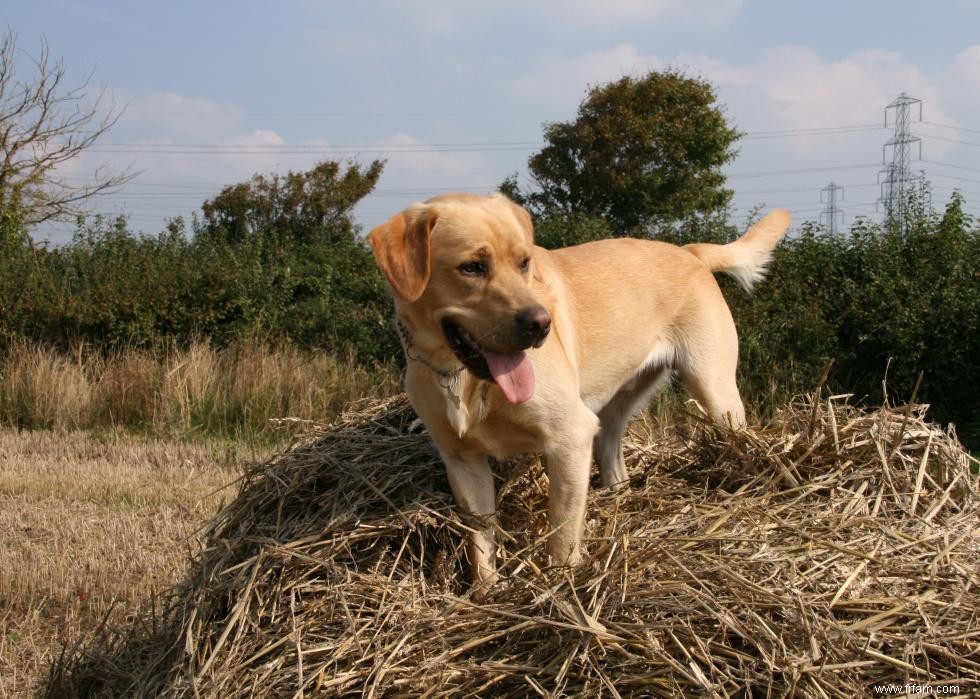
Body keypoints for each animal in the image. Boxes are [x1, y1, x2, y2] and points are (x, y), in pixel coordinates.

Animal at [368, 194, 788, 592]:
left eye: (524, 263)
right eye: (472, 267)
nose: (541, 325)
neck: (463, 378)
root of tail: (689, 252)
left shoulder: (569, 438)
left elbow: (563, 528)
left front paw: (561, 583)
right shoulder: (463, 461)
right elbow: (481, 539)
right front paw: (486, 592)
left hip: (715, 391)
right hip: (615, 406)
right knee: (613, 456)